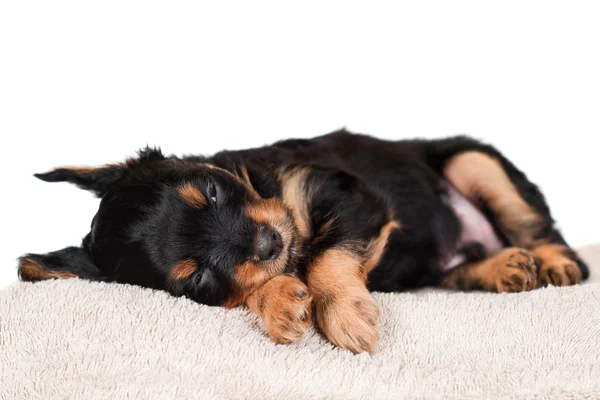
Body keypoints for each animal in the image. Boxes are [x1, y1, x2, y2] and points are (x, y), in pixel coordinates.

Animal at [17, 130, 584, 354]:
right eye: (197, 278)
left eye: (213, 189)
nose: (269, 242)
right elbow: (261, 282)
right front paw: (277, 302)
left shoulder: (351, 195)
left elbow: (325, 255)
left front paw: (344, 313)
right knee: (456, 267)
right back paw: (505, 268)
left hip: (473, 163)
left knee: (542, 228)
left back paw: (553, 263)